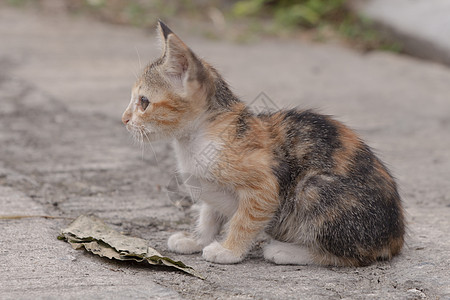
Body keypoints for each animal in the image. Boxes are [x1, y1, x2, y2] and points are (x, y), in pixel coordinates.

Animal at [122, 22, 404, 266]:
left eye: (143, 102)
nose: (124, 119)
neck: (195, 139)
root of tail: (395, 237)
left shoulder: (264, 186)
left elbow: (244, 220)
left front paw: (229, 250)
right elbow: (209, 214)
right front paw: (196, 239)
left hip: (314, 189)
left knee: (349, 254)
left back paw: (286, 251)